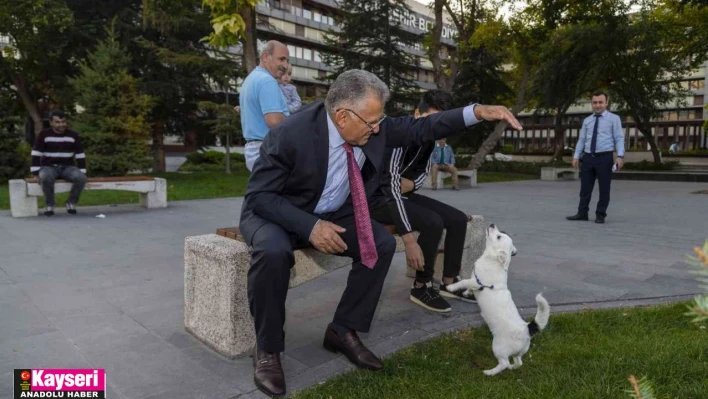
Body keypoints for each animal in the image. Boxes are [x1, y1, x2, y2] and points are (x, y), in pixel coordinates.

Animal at [446, 225, 552, 378]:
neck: (493, 260)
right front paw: (466, 293)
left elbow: (463, 282)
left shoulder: (475, 282)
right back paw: (513, 367)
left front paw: (451, 287)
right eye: (501, 233)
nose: (492, 224)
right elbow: (468, 287)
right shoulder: (474, 283)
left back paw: (490, 372)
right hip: (519, 352)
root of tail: (526, 328)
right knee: (519, 362)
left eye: (498, 237)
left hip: (498, 348)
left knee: (504, 363)